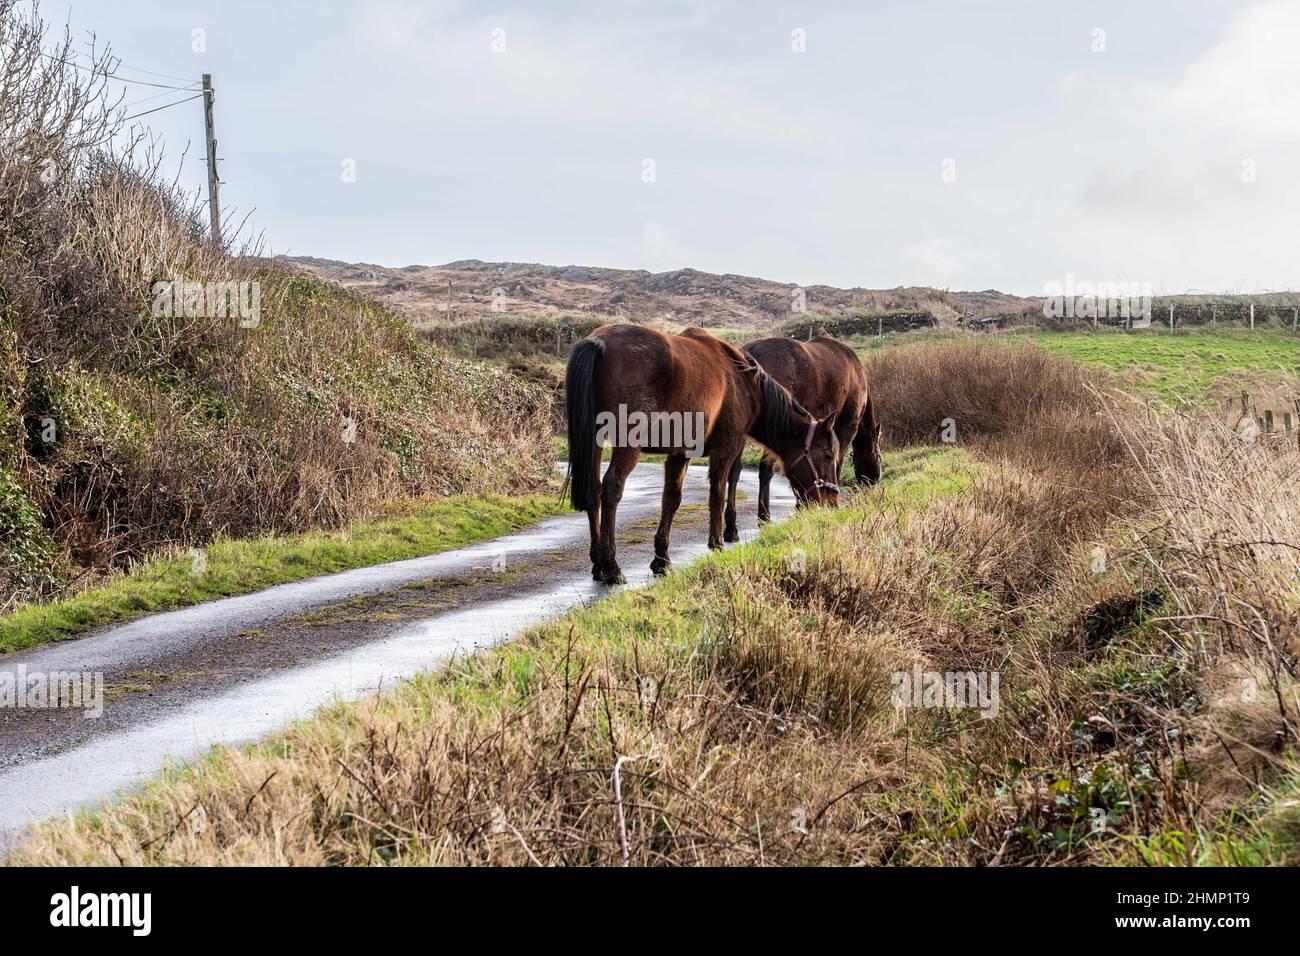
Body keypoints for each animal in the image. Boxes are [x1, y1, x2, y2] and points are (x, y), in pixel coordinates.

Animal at [564, 325, 837, 587]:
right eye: (827, 454)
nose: (833, 502)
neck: (742, 380)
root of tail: (599, 343)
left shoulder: (679, 454)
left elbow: (671, 499)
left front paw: (662, 559)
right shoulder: (725, 449)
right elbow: (717, 493)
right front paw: (717, 542)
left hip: (595, 442)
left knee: (593, 492)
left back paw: (597, 564)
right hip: (627, 447)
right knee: (611, 488)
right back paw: (610, 567)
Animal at [722, 335, 883, 538]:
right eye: (878, 457)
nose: (874, 485)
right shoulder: (846, 428)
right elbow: (836, 464)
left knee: (734, 470)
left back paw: (732, 525)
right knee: (765, 469)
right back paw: (764, 516)